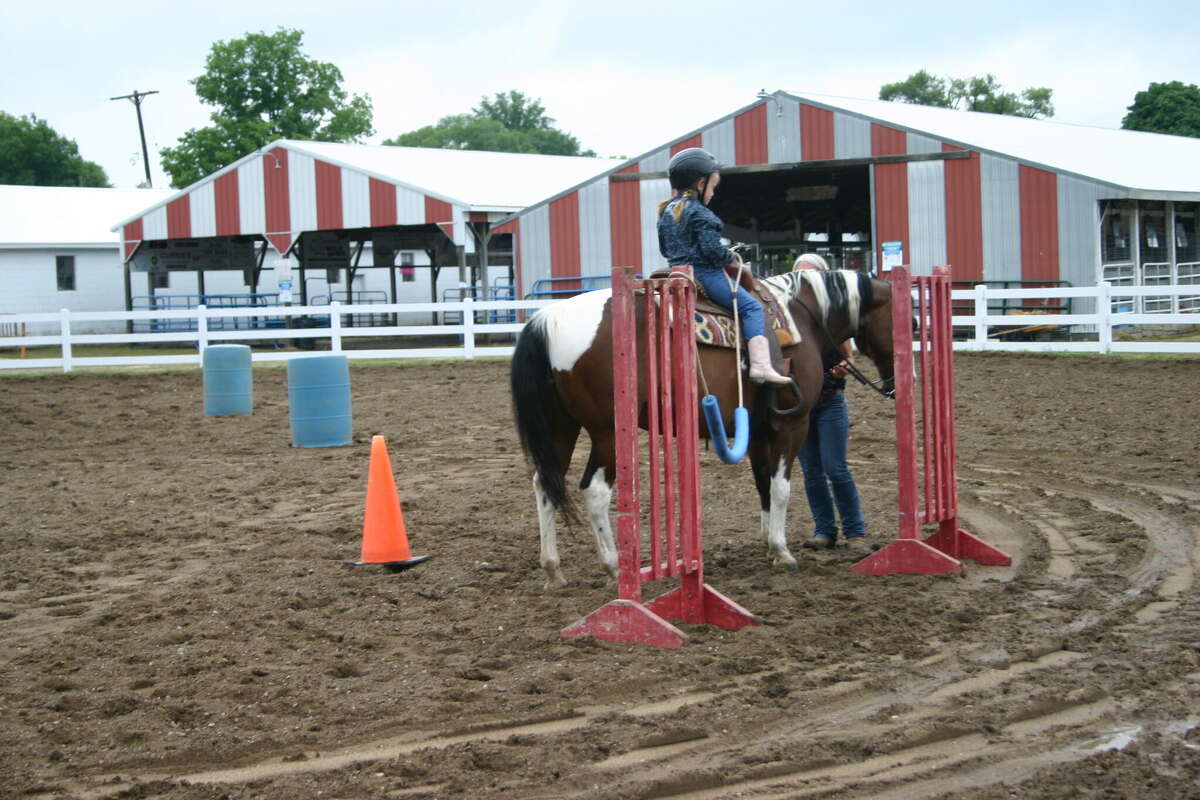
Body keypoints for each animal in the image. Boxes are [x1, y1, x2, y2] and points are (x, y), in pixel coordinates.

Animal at [511, 268, 897, 587]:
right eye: (906, 318)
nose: (895, 385)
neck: (802, 319)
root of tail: (548, 319)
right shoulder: (792, 425)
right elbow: (781, 488)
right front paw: (782, 551)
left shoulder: (758, 432)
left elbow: (763, 485)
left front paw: (768, 545)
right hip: (607, 434)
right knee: (594, 491)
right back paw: (615, 567)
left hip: (561, 428)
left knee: (545, 484)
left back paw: (553, 570)